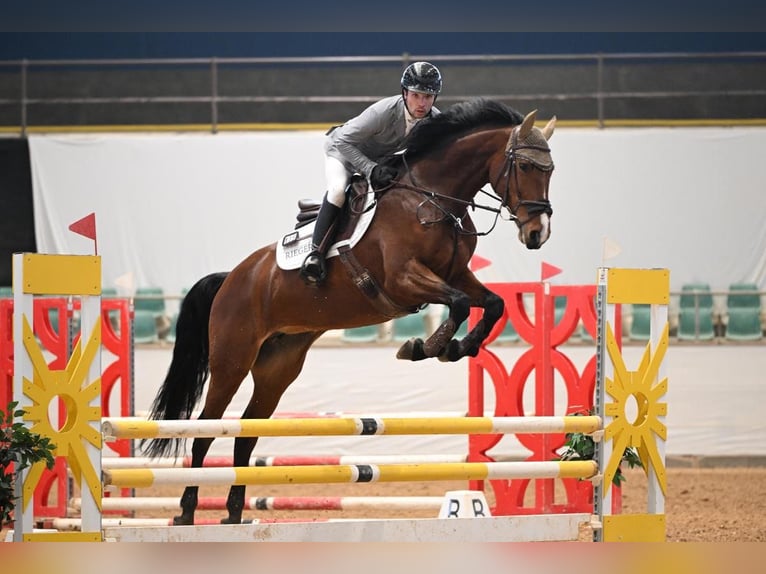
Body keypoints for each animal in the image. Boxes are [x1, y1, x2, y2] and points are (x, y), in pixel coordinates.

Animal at [142, 98, 556, 525]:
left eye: (551, 169)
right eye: (526, 167)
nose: (537, 233)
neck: (432, 198)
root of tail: (232, 278)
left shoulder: (457, 275)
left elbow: (492, 303)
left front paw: (458, 348)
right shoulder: (403, 279)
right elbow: (456, 303)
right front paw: (426, 347)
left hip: (278, 367)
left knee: (246, 434)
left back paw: (235, 514)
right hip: (232, 360)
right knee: (206, 432)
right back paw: (186, 513)